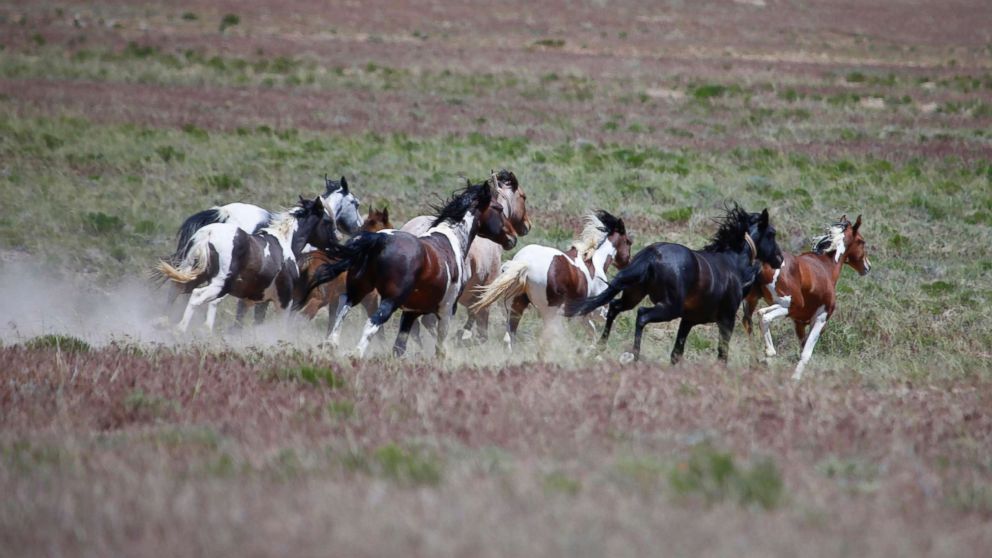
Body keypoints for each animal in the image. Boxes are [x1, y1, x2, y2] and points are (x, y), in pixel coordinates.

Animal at [155, 196, 328, 333]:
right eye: (328, 221)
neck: (284, 240)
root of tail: (208, 234)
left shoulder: (253, 297)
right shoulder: (282, 300)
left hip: (193, 273)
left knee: (176, 290)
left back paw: (164, 322)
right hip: (219, 284)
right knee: (197, 296)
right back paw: (183, 328)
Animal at [301, 181, 517, 358]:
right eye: (498, 208)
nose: (513, 237)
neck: (451, 239)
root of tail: (380, 239)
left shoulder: (411, 311)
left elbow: (399, 347)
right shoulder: (447, 308)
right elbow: (439, 346)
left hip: (358, 290)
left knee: (342, 310)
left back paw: (331, 345)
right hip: (390, 300)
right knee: (372, 322)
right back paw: (356, 353)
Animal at [470, 210, 632, 351]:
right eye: (628, 242)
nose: (627, 264)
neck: (594, 261)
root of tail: (526, 264)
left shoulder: (579, 313)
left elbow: (591, 330)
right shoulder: (596, 310)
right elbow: (603, 323)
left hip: (515, 306)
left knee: (509, 337)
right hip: (549, 312)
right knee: (544, 339)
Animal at [564, 205, 783, 364]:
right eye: (772, 233)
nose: (780, 259)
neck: (733, 264)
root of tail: (652, 255)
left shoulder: (688, 320)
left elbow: (677, 353)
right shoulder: (726, 319)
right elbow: (722, 355)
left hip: (634, 295)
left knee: (614, 307)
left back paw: (600, 348)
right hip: (669, 307)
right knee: (641, 315)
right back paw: (633, 355)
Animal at [741, 214, 871, 380]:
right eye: (862, 241)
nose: (867, 266)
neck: (826, 265)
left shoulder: (799, 322)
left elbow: (802, 349)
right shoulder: (821, 318)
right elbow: (806, 353)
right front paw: (795, 379)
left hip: (752, 302)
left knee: (748, 324)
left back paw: (756, 363)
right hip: (788, 305)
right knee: (764, 316)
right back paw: (769, 353)